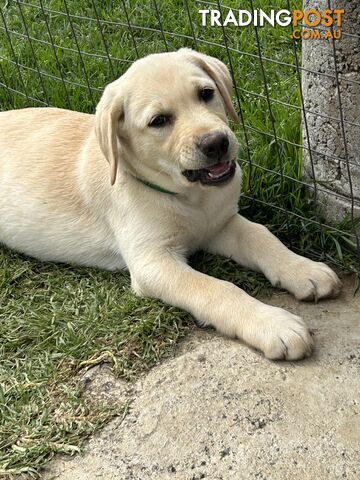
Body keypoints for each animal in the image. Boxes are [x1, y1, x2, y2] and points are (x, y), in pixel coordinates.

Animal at [0, 50, 340, 362]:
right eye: (159, 121)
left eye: (206, 93)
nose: (216, 143)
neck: (190, 197)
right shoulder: (153, 262)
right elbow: (217, 288)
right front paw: (273, 324)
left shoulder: (221, 224)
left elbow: (262, 236)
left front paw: (303, 269)